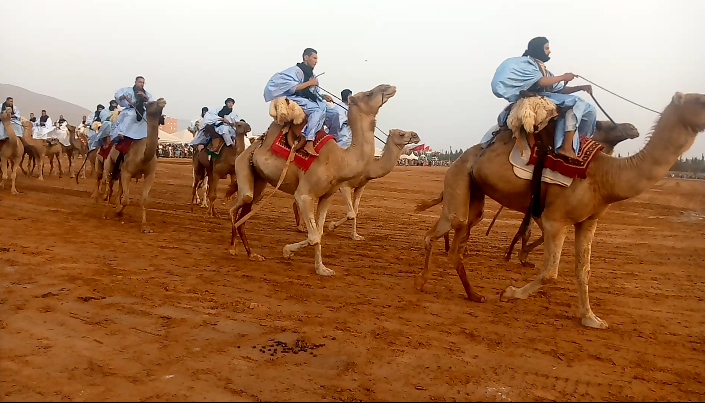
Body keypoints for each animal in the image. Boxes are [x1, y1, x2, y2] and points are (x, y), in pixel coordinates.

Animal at [99, 98, 166, 234]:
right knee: (109, 186)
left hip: (119, 171)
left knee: (118, 188)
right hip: (109, 164)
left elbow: (144, 200)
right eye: (151, 103)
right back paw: (106, 213)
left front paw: (145, 226)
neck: (142, 158)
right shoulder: (127, 172)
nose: (162, 100)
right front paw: (118, 211)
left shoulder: (150, 174)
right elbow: (126, 199)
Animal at [230, 85, 396, 274]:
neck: (339, 159)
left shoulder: (327, 196)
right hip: (243, 166)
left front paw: (321, 268)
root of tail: (252, 145)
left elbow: (320, 233)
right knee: (239, 204)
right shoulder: (304, 195)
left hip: (259, 180)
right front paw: (288, 251)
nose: (389, 87)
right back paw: (232, 248)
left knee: (246, 209)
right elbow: (314, 236)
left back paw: (252, 254)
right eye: (368, 94)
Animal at [290, 129, 418, 240]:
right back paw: (301, 227)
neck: (369, 166)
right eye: (401, 133)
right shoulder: (344, 186)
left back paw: (300, 226)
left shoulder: (361, 186)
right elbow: (351, 213)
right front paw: (332, 226)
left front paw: (355, 236)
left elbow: (355, 211)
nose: (416, 135)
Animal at [416, 120, 640, 270]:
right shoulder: (542, 206)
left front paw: (519, 256)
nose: (632, 127)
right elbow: (535, 232)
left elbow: (529, 231)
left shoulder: (537, 207)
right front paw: (521, 256)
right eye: (606, 125)